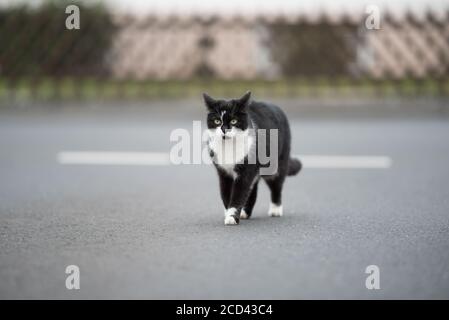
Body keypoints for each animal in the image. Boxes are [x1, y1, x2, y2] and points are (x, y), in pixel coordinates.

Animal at [203, 90, 300, 225]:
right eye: (217, 121)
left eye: (234, 121)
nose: (224, 130)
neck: (229, 146)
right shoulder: (223, 173)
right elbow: (226, 194)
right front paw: (229, 214)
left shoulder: (246, 170)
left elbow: (238, 194)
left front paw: (231, 217)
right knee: (253, 190)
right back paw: (245, 213)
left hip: (277, 163)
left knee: (276, 185)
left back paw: (275, 210)